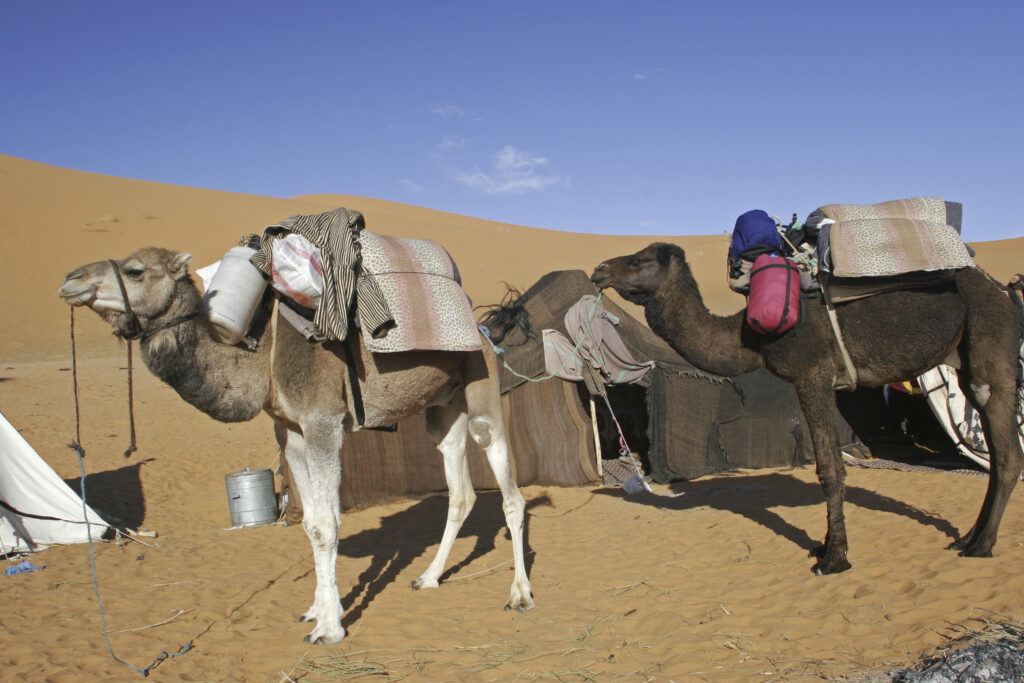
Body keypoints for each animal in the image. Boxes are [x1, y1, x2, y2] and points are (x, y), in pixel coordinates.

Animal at [58, 247, 534, 644]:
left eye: (135, 270)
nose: (71, 279)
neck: (260, 353)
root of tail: (483, 327)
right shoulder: (291, 433)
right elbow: (312, 524)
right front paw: (317, 610)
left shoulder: (322, 421)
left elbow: (325, 525)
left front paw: (329, 629)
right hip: (442, 407)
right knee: (460, 489)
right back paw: (429, 577)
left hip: (481, 386)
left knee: (511, 494)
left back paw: (520, 595)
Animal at [591, 242, 1024, 574]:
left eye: (641, 261)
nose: (599, 269)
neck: (747, 337)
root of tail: (1004, 293)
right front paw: (825, 546)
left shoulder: (812, 375)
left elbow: (830, 470)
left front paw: (834, 560)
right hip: (965, 363)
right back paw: (966, 537)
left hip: (990, 348)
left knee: (1006, 453)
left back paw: (981, 545)